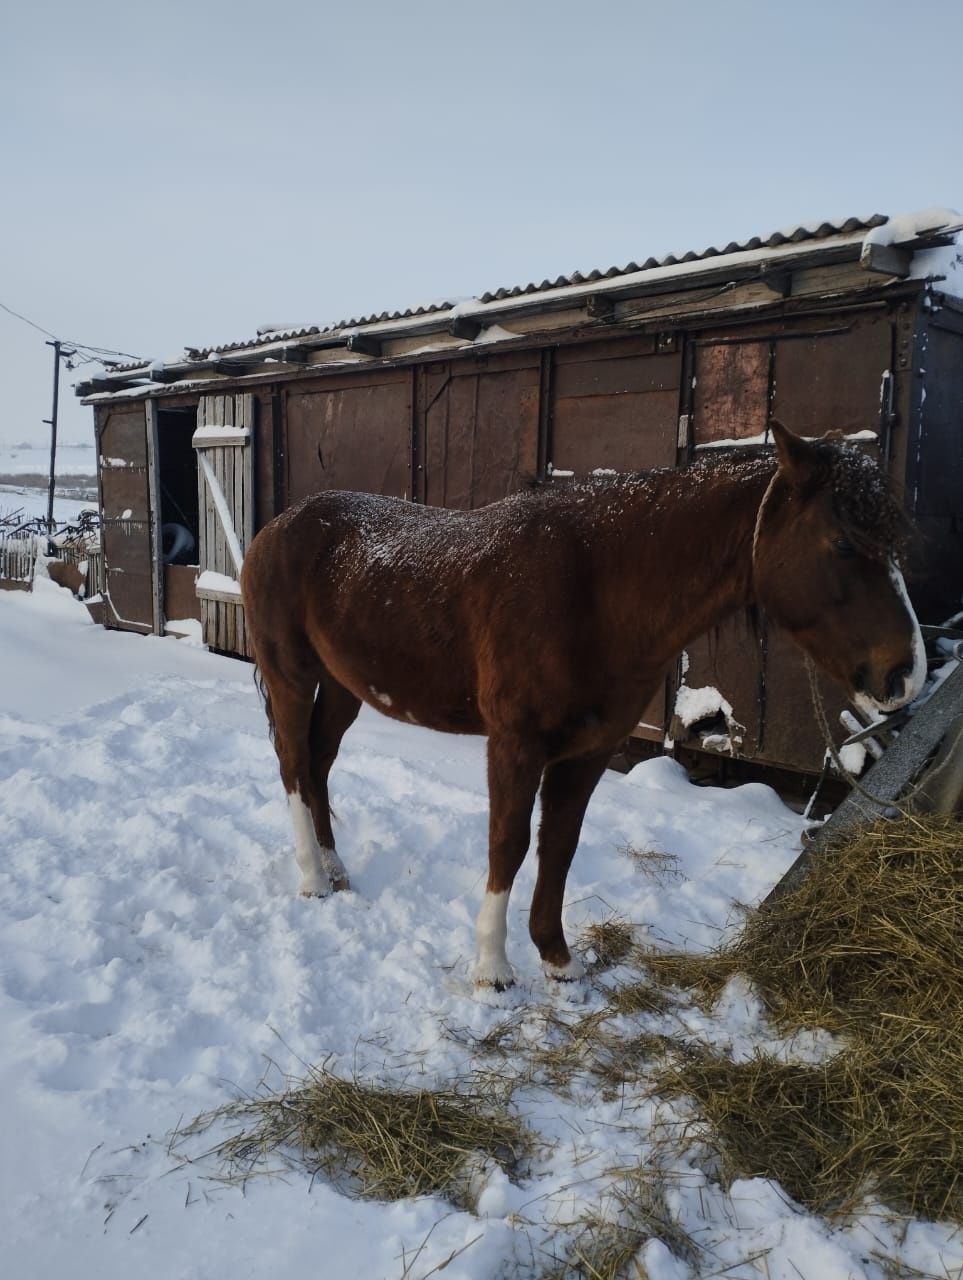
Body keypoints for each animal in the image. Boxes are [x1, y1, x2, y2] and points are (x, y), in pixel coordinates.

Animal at [240, 419, 927, 988]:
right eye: (843, 543)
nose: (906, 674)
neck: (594, 588)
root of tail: (276, 528)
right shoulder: (515, 744)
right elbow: (509, 843)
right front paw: (492, 969)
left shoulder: (590, 752)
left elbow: (559, 846)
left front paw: (558, 960)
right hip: (292, 677)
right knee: (294, 767)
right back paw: (313, 880)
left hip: (343, 689)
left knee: (318, 765)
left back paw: (336, 870)